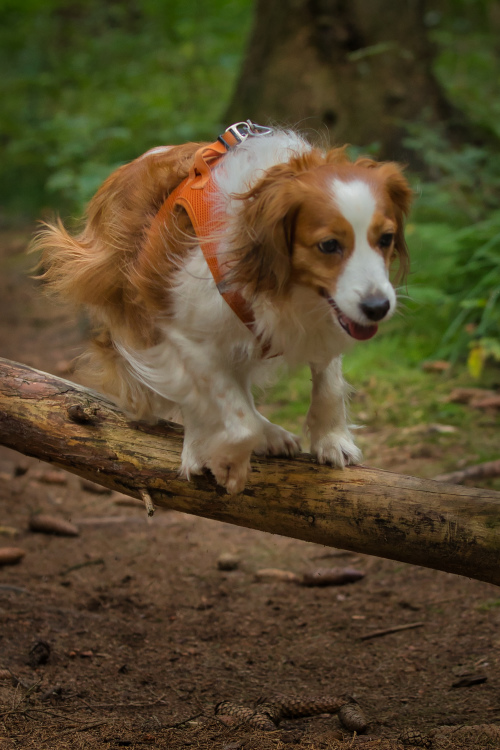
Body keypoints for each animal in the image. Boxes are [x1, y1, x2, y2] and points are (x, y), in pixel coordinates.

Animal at [34, 122, 410, 494]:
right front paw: (227, 460)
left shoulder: (328, 317)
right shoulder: (184, 335)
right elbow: (234, 415)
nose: (378, 307)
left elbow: (327, 381)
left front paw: (332, 439)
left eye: (386, 239)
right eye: (329, 245)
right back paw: (205, 445)